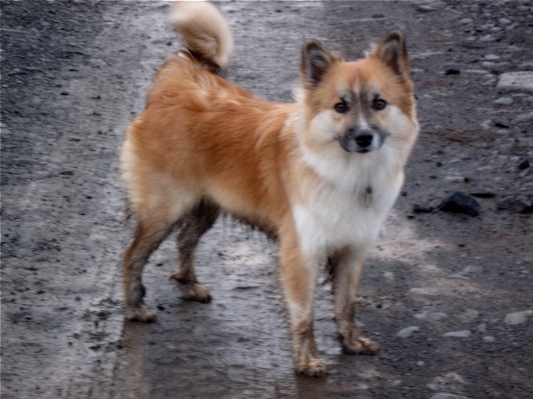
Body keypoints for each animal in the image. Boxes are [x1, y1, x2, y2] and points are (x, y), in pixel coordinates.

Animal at [119, 0, 416, 378]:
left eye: (379, 104)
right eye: (341, 106)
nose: (364, 137)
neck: (344, 171)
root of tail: (179, 81)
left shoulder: (352, 251)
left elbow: (345, 304)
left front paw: (351, 343)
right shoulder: (301, 254)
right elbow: (305, 315)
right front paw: (307, 361)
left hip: (207, 205)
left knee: (185, 240)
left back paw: (188, 286)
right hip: (165, 210)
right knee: (132, 257)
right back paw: (134, 309)